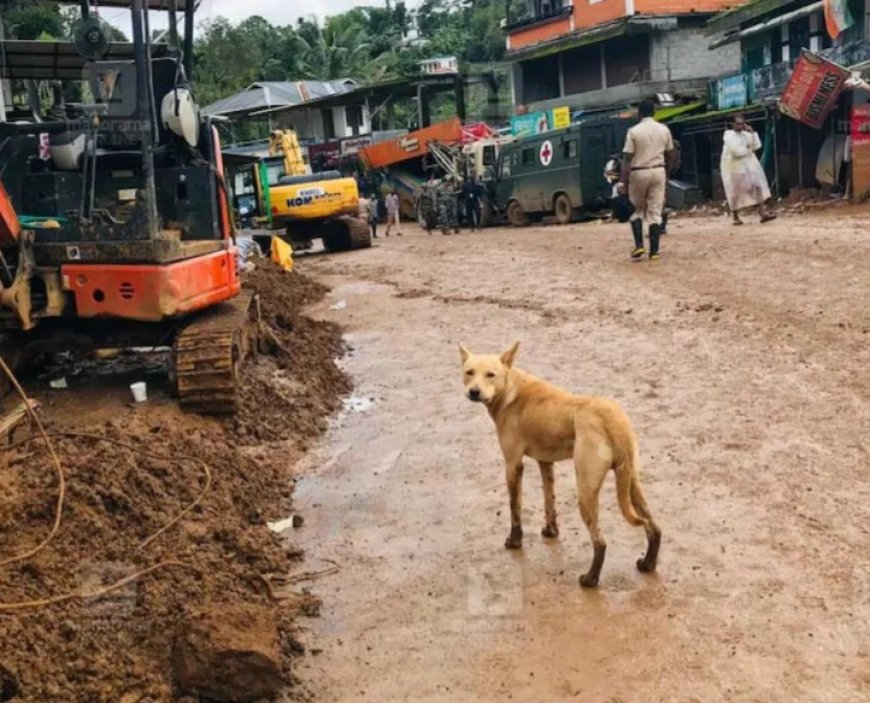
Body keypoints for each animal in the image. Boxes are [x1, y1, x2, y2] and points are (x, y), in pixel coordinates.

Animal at [464, 340, 660, 588]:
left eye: (491, 374)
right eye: (469, 372)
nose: (474, 392)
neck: (511, 389)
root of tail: (612, 418)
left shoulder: (512, 464)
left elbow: (514, 507)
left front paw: (514, 541)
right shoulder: (545, 462)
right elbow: (549, 501)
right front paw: (551, 531)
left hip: (586, 490)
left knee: (600, 543)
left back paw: (590, 579)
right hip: (631, 482)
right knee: (654, 528)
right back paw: (648, 564)